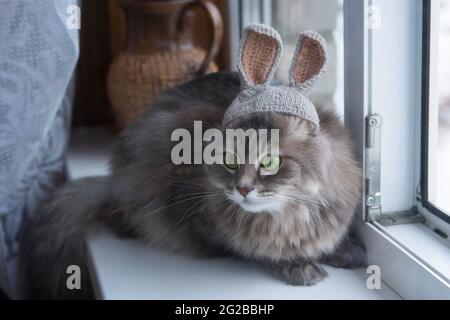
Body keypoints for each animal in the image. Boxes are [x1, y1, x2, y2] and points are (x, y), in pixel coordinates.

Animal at [22, 26, 366, 298]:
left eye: (269, 162)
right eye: (229, 161)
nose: (242, 189)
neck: (289, 217)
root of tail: (110, 183)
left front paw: (346, 252)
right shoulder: (193, 214)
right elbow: (254, 249)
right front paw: (296, 264)